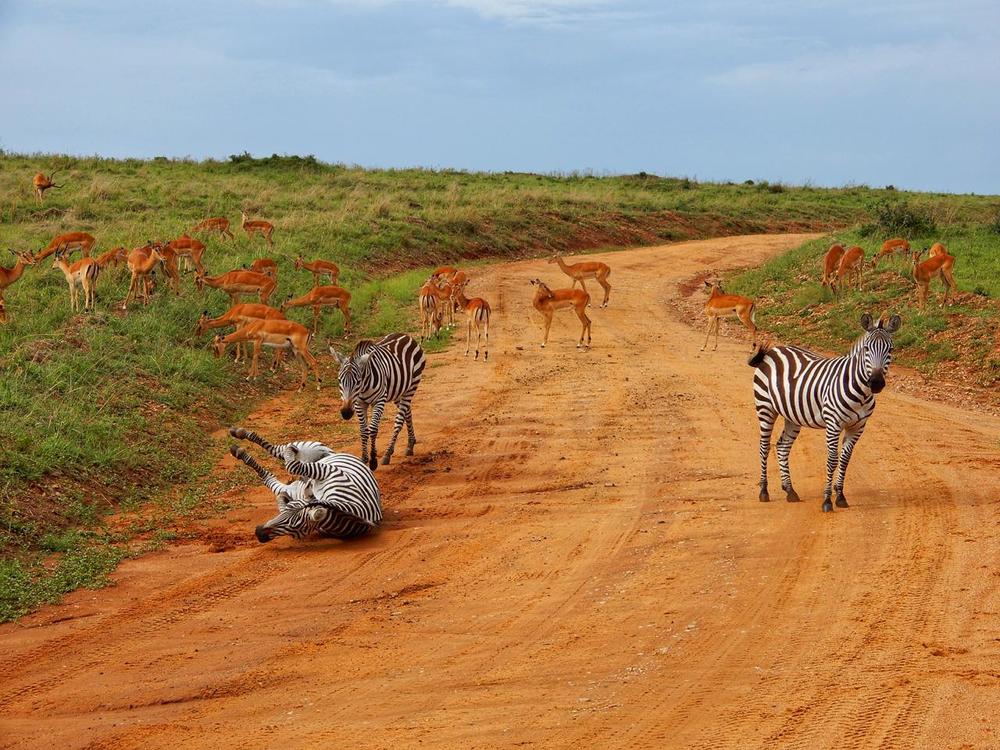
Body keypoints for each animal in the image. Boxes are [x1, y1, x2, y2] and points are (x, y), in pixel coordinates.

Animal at [228, 426, 382, 542]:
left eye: (294, 527)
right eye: (288, 509)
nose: (259, 533)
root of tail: (333, 452)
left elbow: (284, 479)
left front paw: (283, 496)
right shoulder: (326, 471)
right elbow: (293, 466)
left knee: (269, 477)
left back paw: (239, 451)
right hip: (307, 448)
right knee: (277, 449)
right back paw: (239, 434)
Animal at [330, 333, 426, 472]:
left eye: (358, 381)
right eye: (339, 381)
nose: (346, 413)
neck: (363, 386)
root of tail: (405, 335)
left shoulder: (379, 401)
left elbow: (373, 429)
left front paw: (373, 461)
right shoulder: (359, 404)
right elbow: (364, 431)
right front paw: (364, 459)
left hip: (412, 386)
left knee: (398, 421)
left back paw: (388, 453)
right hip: (398, 392)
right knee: (407, 413)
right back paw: (410, 444)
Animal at [748, 313, 901, 513]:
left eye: (890, 349)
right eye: (867, 349)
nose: (876, 383)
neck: (861, 392)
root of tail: (774, 350)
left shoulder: (857, 427)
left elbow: (845, 460)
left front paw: (841, 496)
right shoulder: (833, 424)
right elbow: (832, 461)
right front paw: (827, 500)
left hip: (793, 415)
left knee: (782, 446)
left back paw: (790, 491)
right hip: (765, 407)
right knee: (764, 447)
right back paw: (764, 491)